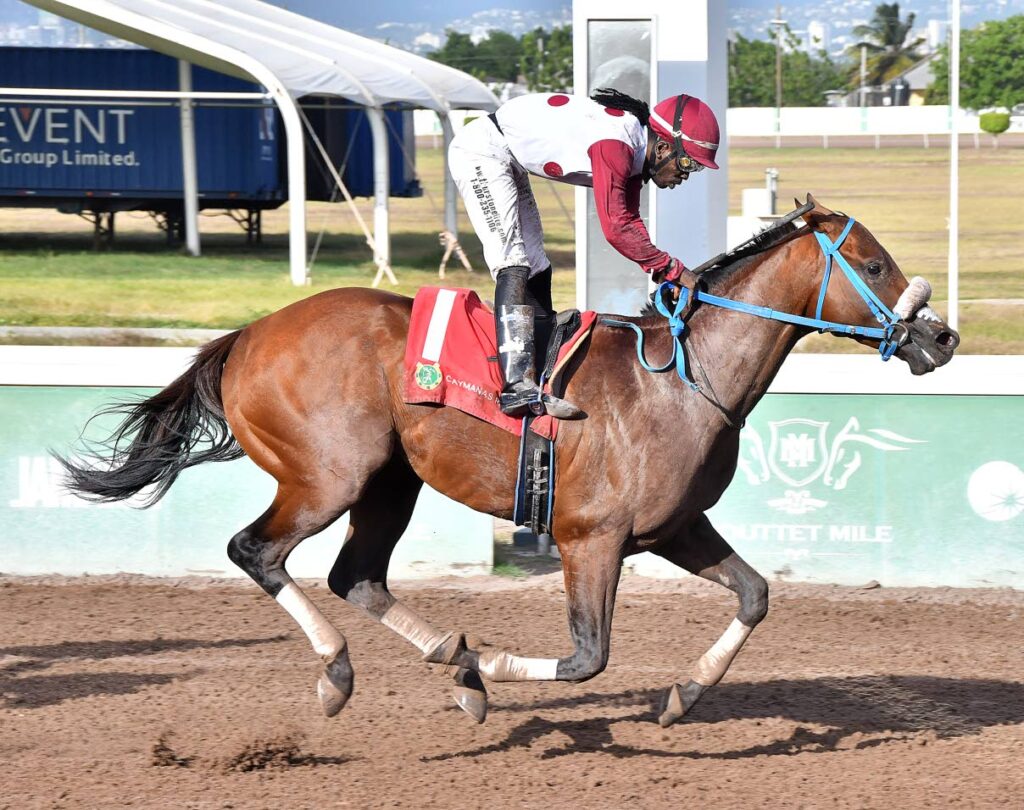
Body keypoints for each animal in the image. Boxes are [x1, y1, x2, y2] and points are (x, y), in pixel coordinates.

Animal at [58, 196, 959, 727]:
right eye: (873, 265)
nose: (943, 336)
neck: (681, 378)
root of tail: (249, 333)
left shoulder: (672, 527)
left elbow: (755, 594)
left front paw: (684, 693)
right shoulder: (589, 538)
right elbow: (589, 656)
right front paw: (488, 658)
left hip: (390, 482)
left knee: (357, 576)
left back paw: (448, 668)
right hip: (327, 476)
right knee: (258, 551)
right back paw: (343, 674)